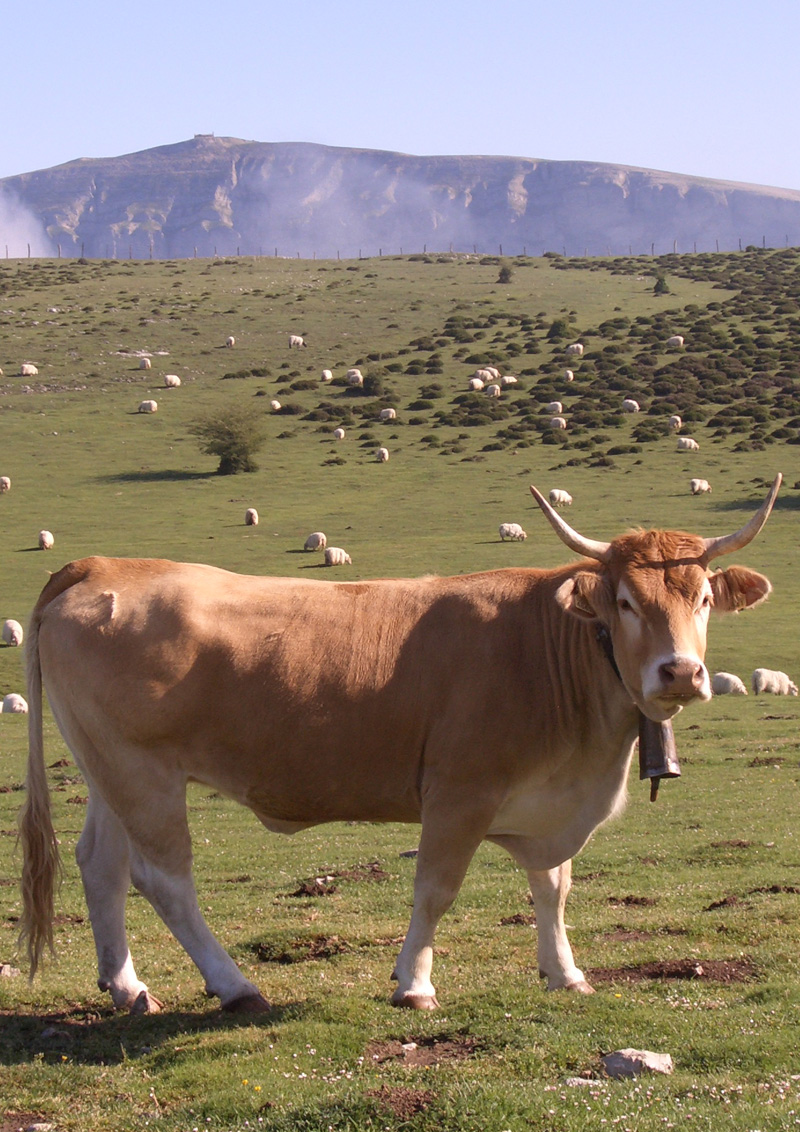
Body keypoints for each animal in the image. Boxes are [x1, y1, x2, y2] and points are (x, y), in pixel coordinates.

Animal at [17, 476, 780, 1017]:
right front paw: (414, 983)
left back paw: (127, 986)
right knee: (164, 879)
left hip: (109, 770)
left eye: (702, 599)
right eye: (624, 602)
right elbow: (436, 888)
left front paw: (564, 973)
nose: (680, 672)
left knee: (102, 864)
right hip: (143, 773)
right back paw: (234, 984)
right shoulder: (459, 792)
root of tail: (99, 565)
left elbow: (553, 886)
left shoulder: (548, 800)